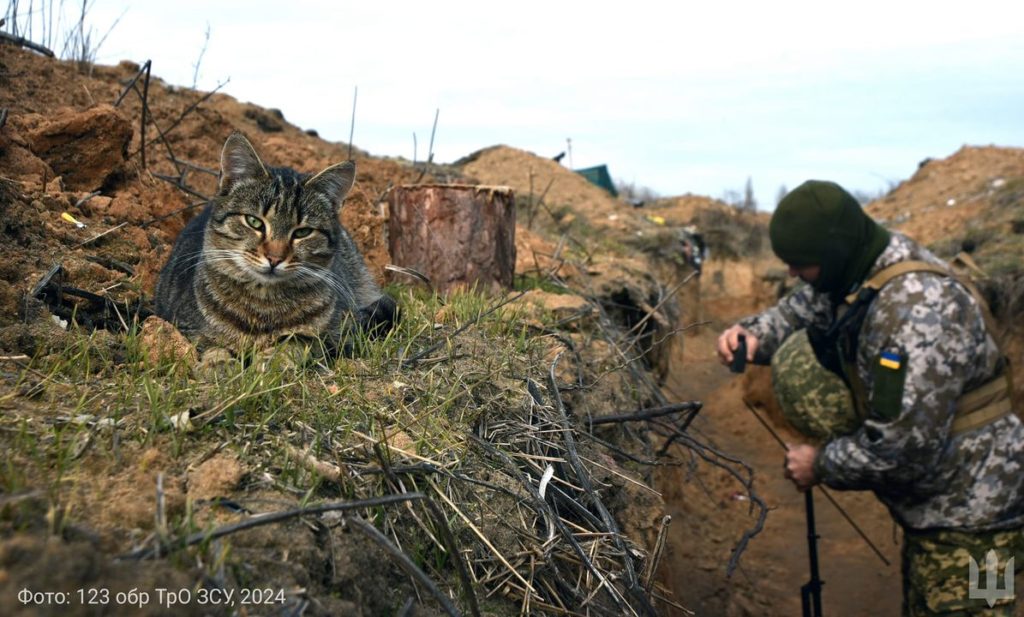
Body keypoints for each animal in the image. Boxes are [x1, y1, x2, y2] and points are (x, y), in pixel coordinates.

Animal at [154, 131, 395, 351]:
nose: (274, 258)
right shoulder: (187, 328)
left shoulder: (337, 337)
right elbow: (215, 349)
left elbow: (292, 346)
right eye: (254, 221)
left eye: (302, 232)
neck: (263, 306)